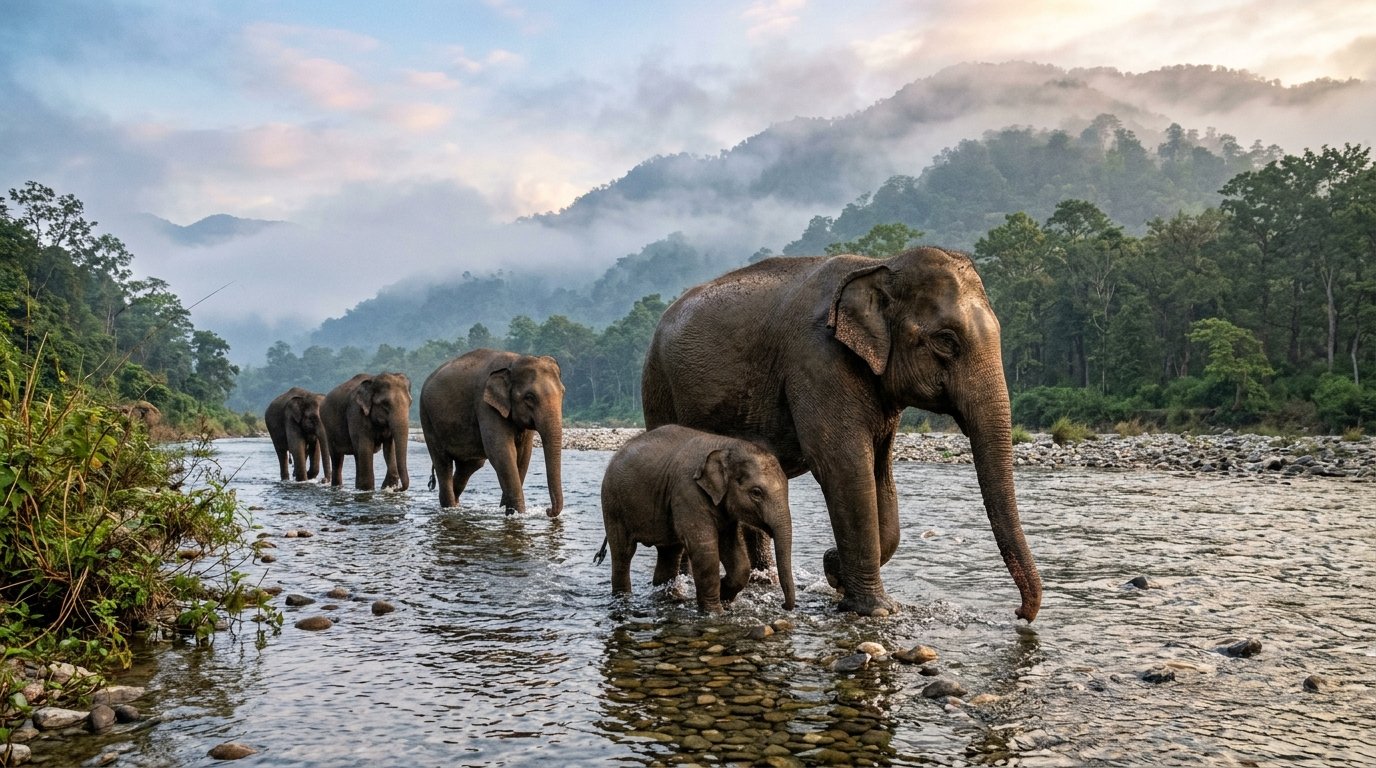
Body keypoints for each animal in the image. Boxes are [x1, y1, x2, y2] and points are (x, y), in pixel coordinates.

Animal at [418, 349, 564, 515]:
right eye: (529, 397)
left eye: (563, 392)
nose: (548, 510)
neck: (514, 361)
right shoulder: (485, 405)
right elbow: (502, 452)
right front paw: (517, 513)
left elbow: (524, 455)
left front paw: (509, 510)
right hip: (427, 418)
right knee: (443, 463)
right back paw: (449, 507)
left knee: (470, 465)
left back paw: (456, 504)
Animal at [595, 425, 796, 613]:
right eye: (756, 493)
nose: (784, 605)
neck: (727, 445)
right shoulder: (688, 491)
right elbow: (705, 550)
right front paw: (715, 611)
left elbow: (734, 552)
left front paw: (724, 597)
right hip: (612, 503)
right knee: (623, 553)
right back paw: (622, 597)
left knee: (669, 552)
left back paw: (666, 597)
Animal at [641, 246, 1042, 621]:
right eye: (946, 340)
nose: (1019, 613)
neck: (879, 265)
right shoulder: (818, 361)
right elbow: (844, 466)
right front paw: (875, 608)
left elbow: (880, 473)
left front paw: (835, 573)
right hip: (657, 385)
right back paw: (681, 585)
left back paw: (762, 582)